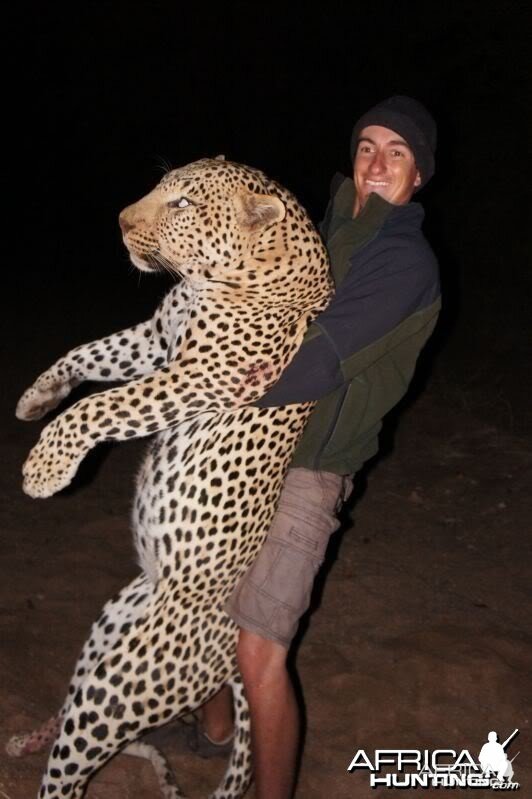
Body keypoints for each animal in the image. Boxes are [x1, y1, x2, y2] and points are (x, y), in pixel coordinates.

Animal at [11, 158, 332, 799]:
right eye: (162, 188)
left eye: (182, 203)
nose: (119, 220)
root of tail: (233, 654)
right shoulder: (155, 340)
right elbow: (86, 353)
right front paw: (38, 397)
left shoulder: (199, 376)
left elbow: (102, 406)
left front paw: (45, 468)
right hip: (106, 631)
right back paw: (29, 739)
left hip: (125, 685)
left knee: (71, 767)